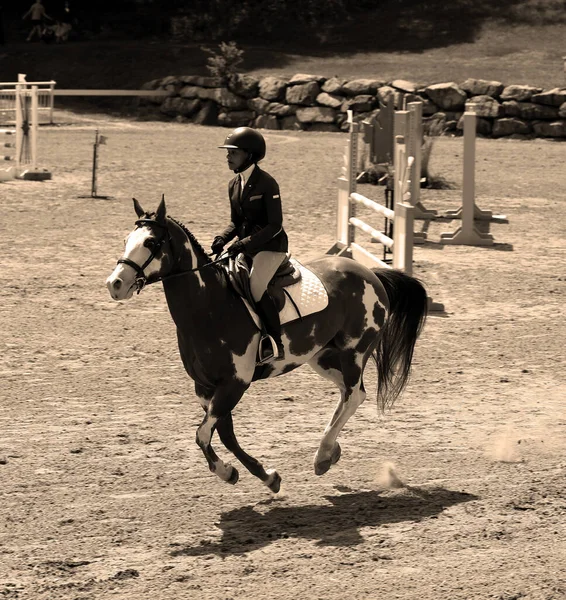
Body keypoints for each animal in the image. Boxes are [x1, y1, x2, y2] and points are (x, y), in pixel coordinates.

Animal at [106, 197, 428, 492]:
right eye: (125, 240)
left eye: (150, 242)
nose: (115, 284)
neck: (208, 307)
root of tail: (371, 274)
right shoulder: (206, 387)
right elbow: (223, 434)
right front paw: (264, 477)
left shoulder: (234, 383)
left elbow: (203, 434)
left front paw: (227, 472)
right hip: (321, 357)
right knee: (349, 394)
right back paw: (330, 453)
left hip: (354, 352)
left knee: (353, 395)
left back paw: (322, 454)